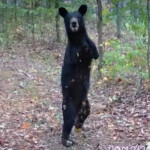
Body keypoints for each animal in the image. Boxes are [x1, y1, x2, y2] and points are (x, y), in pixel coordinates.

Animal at [59, 4, 99, 146]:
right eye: (69, 18)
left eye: (78, 17)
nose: (74, 23)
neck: (77, 38)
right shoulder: (71, 53)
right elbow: (76, 57)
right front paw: (83, 49)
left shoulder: (92, 46)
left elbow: (95, 52)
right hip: (69, 103)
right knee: (68, 120)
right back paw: (66, 141)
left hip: (85, 102)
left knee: (85, 112)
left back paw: (79, 123)